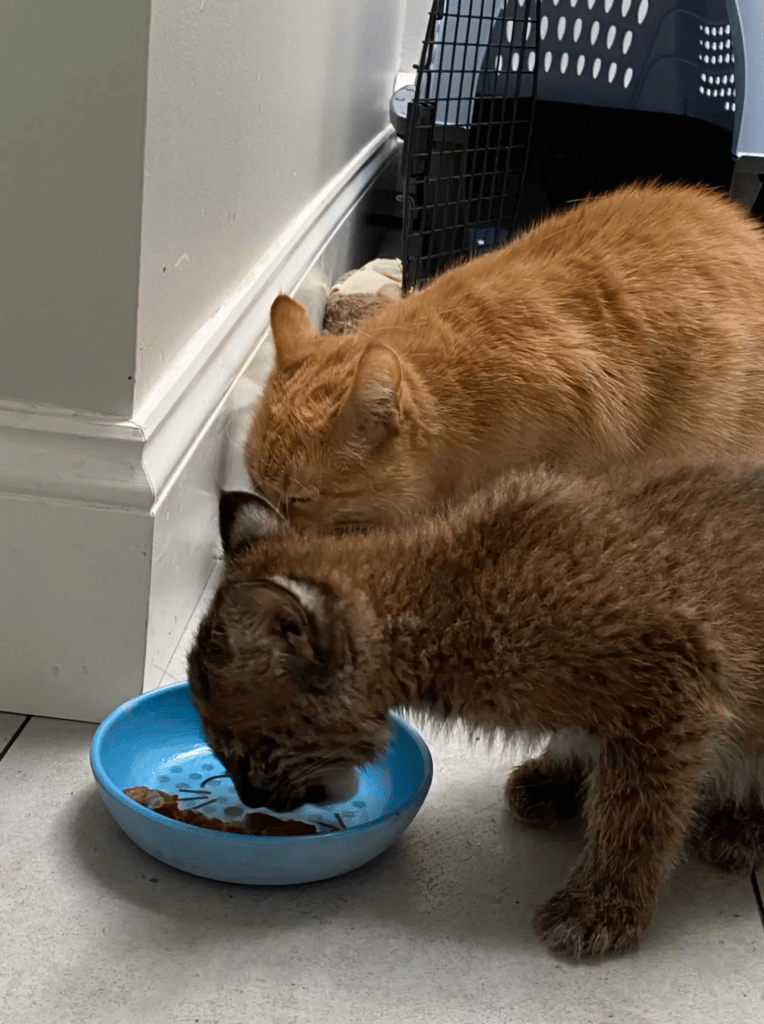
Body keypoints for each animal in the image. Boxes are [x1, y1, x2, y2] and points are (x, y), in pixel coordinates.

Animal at [189, 464, 761, 958]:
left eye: (252, 750)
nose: (251, 798)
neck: (442, 598)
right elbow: (582, 743)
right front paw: (558, 777)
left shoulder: (674, 688)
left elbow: (638, 811)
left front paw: (601, 906)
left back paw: (743, 827)